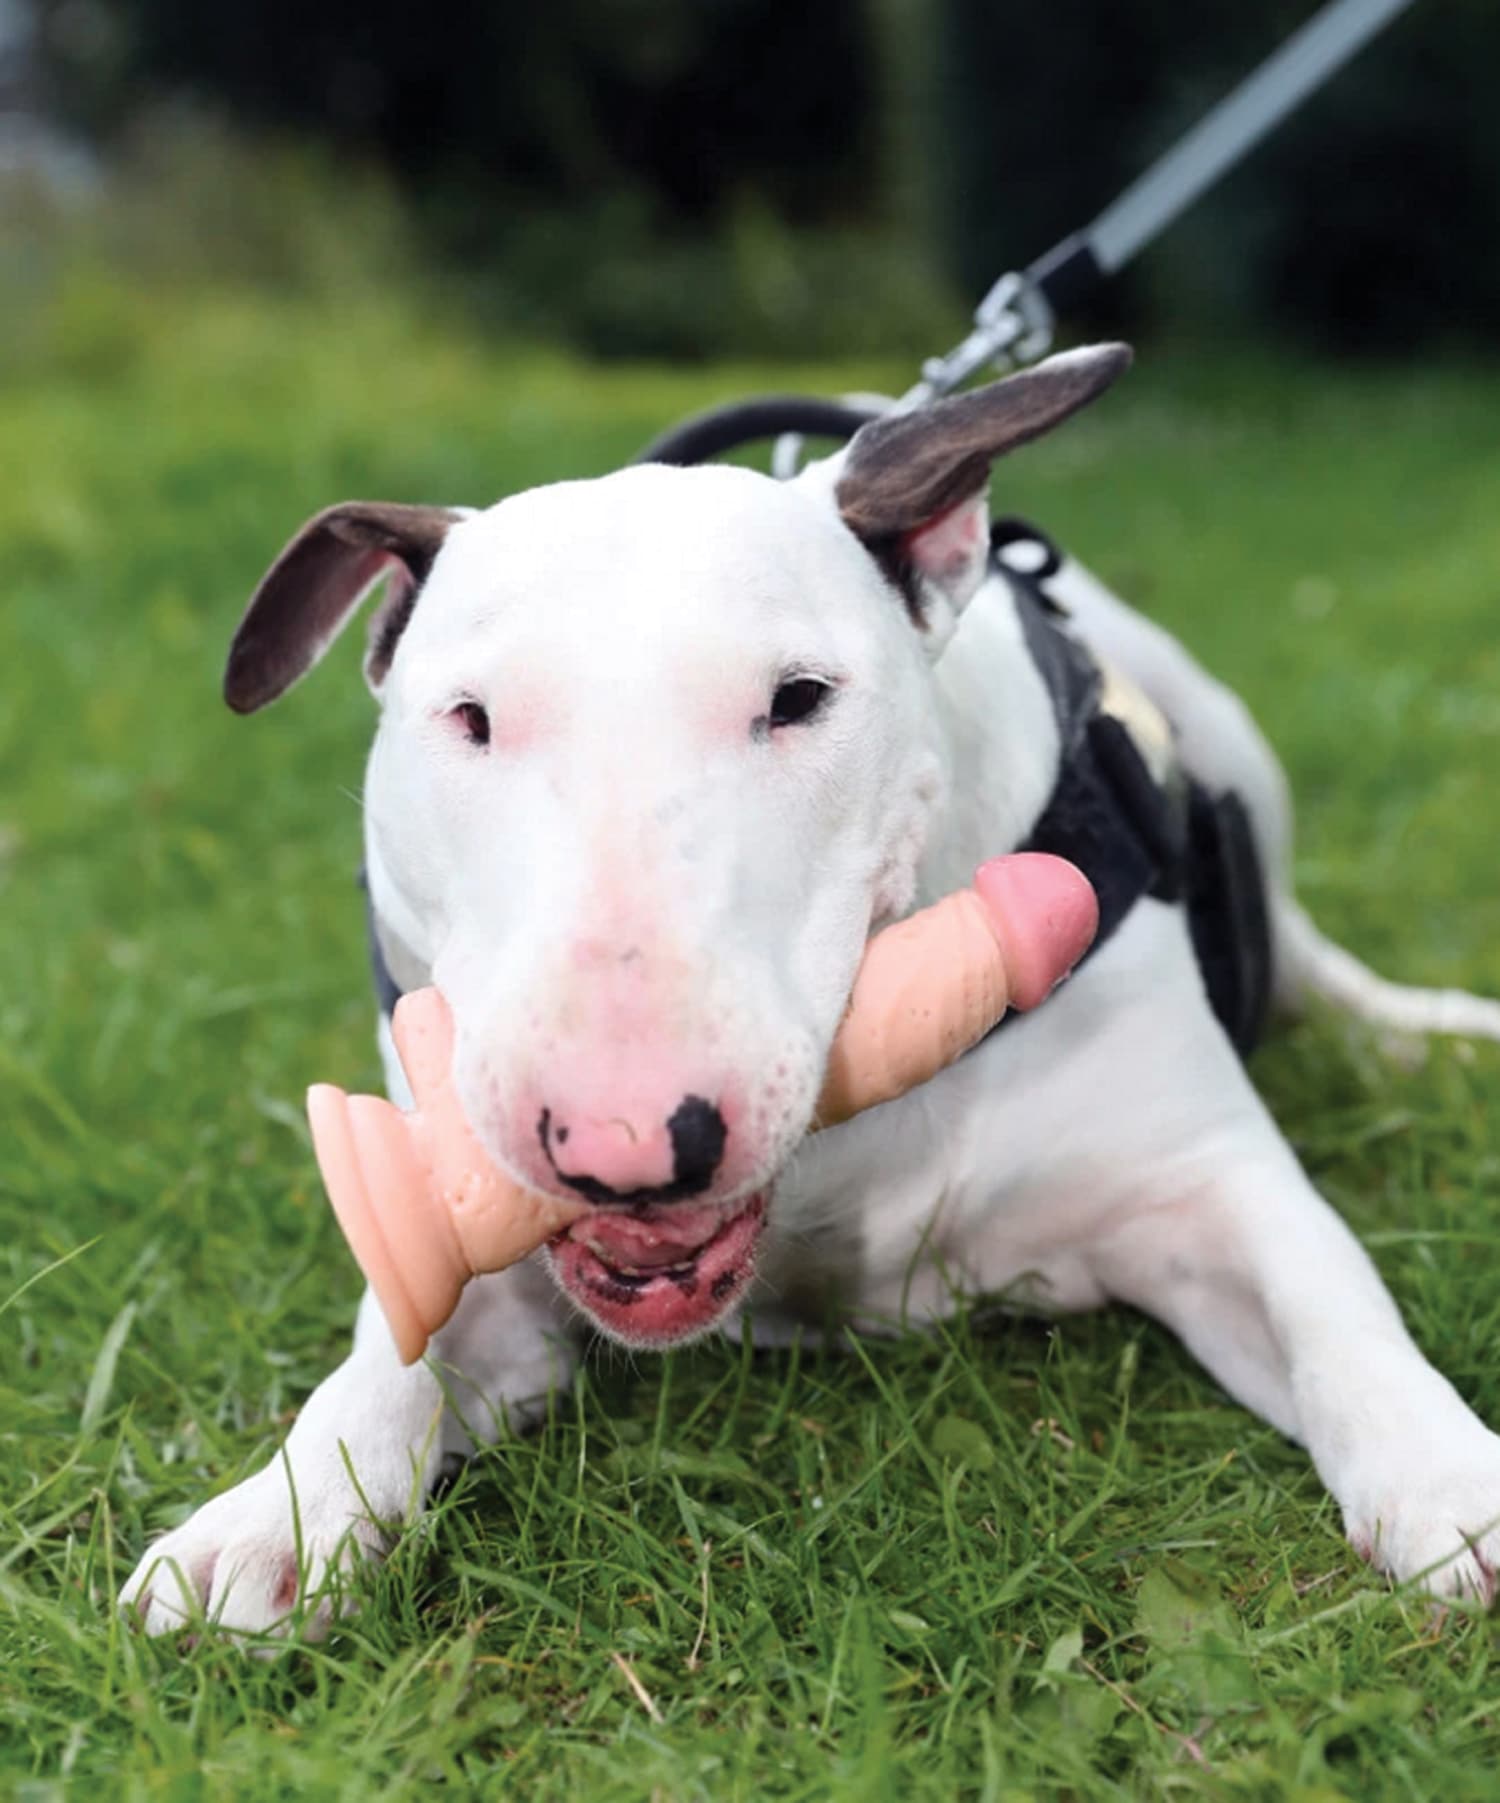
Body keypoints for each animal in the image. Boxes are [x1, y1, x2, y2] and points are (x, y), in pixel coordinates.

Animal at [122, 347, 1500, 1637]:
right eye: (468, 718)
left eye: (798, 699)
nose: (625, 1140)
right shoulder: (493, 1276)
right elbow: (387, 1357)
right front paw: (274, 1516)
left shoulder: (1202, 1182)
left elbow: (1334, 1310)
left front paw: (1454, 1484)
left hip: (1224, 738)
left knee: (1302, 944)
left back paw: (1425, 1039)